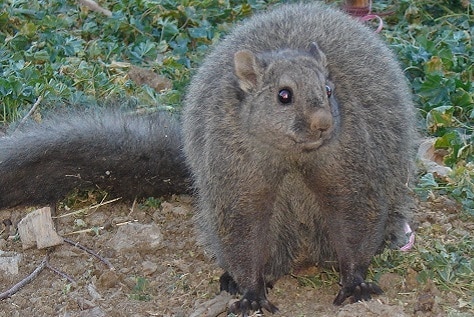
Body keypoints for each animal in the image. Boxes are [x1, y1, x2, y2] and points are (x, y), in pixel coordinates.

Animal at [0, 1, 416, 314]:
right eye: (283, 95)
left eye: (329, 90)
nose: (324, 124)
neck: (292, 159)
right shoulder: (236, 176)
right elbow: (244, 234)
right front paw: (250, 292)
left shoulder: (348, 165)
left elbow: (354, 219)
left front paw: (355, 282)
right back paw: (235, 279)